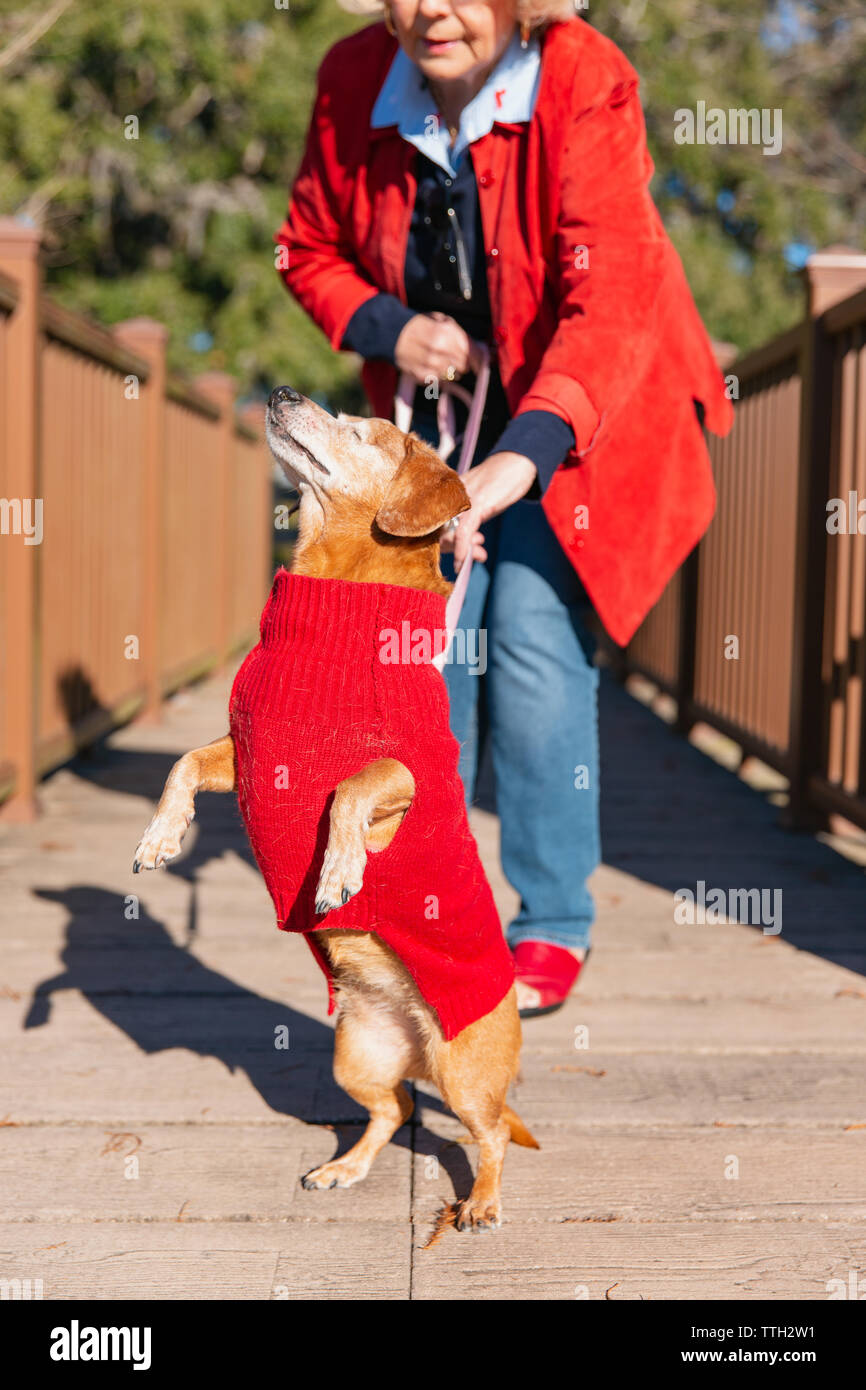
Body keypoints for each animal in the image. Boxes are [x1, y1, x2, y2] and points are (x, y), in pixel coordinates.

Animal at [132, 386, 539, 1234]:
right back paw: (343, 1167)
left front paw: (339, 871)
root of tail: (416, 1046)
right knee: (392, 1112)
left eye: (358, 431)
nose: (284, 392)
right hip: (356, 1057)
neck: (336, 589)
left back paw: (481, 1202)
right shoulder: (249, 753)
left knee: (488, 1136)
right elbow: (184, 764)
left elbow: (353, 786)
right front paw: (162, 837)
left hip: (465, 1072)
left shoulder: (409, 771)